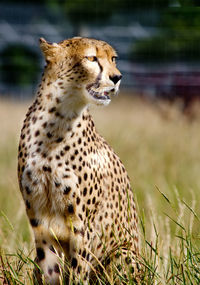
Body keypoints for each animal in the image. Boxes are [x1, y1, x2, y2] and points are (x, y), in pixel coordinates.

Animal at [18, 37, 140, 284]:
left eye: (113, 58)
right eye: (91, 58)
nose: (117, 77)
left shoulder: (82, 226)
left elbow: (78, 270)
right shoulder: (40, 222)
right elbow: (50, 269)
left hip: (123, 253)